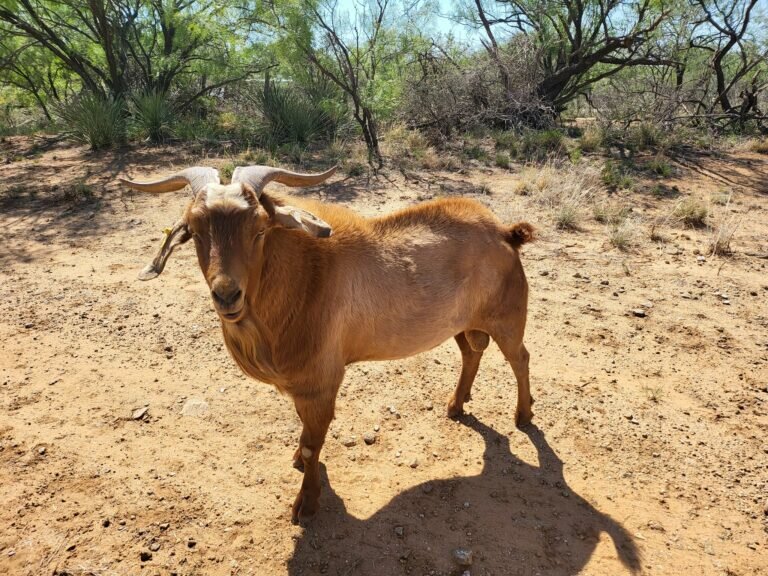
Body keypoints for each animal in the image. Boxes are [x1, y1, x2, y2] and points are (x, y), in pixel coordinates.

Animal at [119, 165, 535, 523]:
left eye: (260, 229)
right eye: (193, 231)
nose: (227, 295)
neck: (303, 281)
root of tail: (504, 232)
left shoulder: (321, 383)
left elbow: (312, 441)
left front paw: (306, 503)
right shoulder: (303, 387)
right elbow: (305, 436)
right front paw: (299, 464)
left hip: (508, 318)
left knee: (520, 358)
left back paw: (523, 415)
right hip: (462, 324)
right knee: (472, 353)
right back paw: (456, 405)